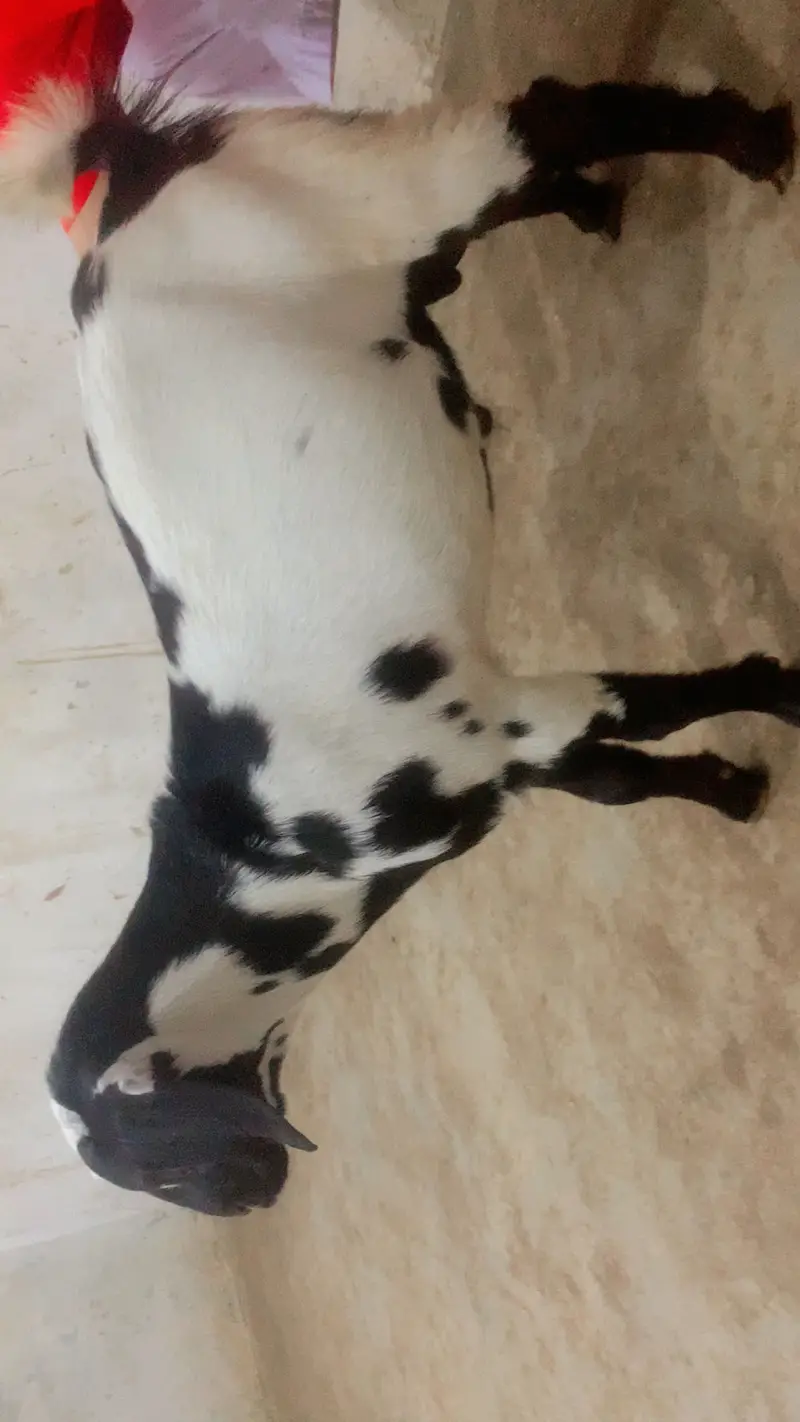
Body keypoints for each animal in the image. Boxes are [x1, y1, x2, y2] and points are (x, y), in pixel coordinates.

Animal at [3, 75, 796, 1215]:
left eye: (158, 1163)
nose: (254, 1199)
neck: (271, 849)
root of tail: (130, 180)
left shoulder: (504, 718)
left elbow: (660, 703)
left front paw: (784, 698)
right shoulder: (511, 752)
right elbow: (619, 779)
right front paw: (731, 791)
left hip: (373, 190)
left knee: (548, 117)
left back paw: (749, 143)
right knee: (498, 194)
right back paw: (596, 206)